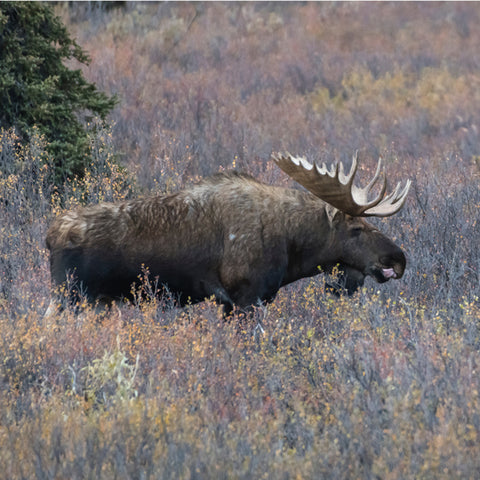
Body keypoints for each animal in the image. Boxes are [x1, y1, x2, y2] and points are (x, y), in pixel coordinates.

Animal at [44, 153, 408, 316]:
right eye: (357, 229)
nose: (398, 259)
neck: (292, 246)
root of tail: (50, 235)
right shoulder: (245, 297)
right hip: (71, 297)